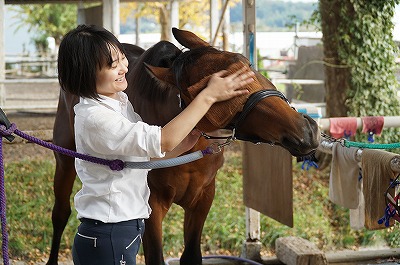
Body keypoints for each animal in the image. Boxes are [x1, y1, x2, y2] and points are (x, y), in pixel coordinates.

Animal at [46, 27, 318, 264]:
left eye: (245, 64)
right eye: (209, 92)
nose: (305, 130)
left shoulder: (204, 196)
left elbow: (192, 255)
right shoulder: (152, 204)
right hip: (65, 159)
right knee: (60, 214)